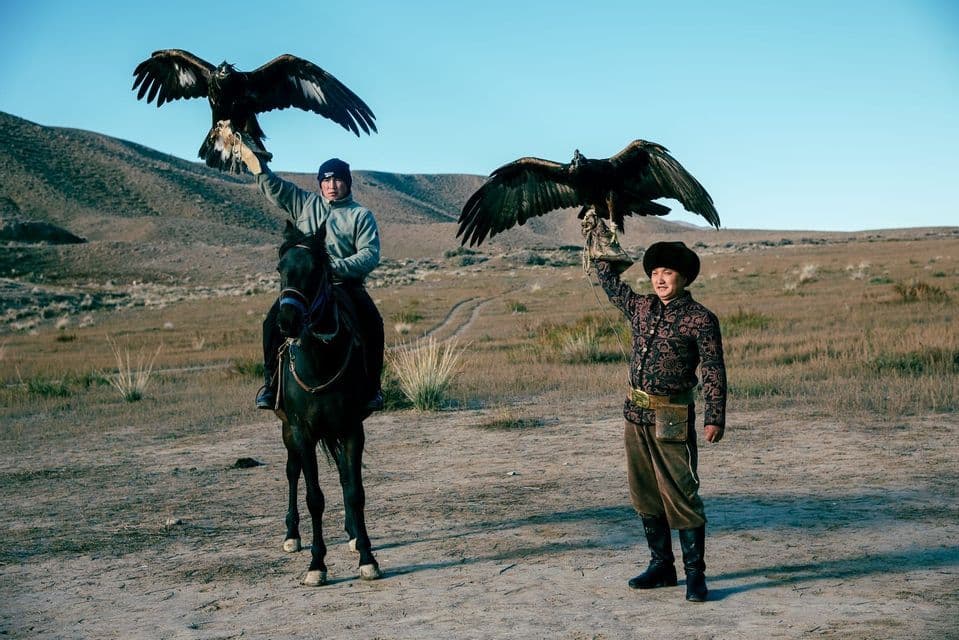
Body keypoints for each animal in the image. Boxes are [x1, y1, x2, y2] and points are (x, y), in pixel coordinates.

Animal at [272, 220, 381, 586]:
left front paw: (366, 556)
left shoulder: (351, 429)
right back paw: (292, 535)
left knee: (345, 478)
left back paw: (353, 535)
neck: (320, 361)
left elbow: (354, 491)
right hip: (286, 431)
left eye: (316, 269)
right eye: (280, 268)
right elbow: (314, 497)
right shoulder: (302, 432)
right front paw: (317, 564)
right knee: (292, 473)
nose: (287, 321)